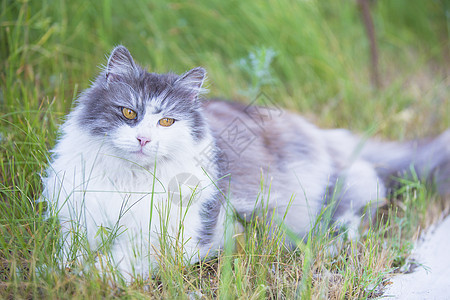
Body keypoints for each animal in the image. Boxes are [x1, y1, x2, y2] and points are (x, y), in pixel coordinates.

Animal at [39, 44, 450, 282]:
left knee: (353, 217)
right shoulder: (76, 224)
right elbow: (65, 257)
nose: (143, 140)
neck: (130, 181)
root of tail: (322, 132)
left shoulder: (172, 241)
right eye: (128, 113)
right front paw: (57, 273)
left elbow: (113, 265)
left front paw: (81, 279)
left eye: (166, 122)